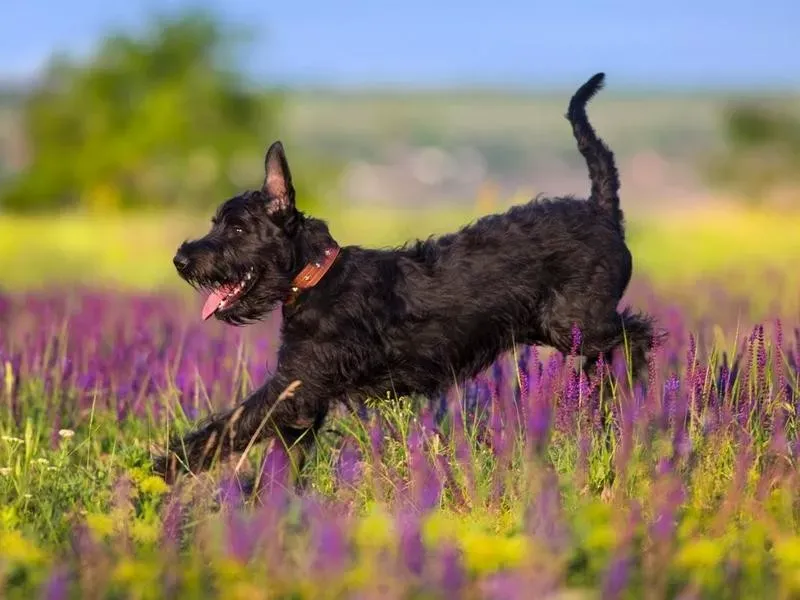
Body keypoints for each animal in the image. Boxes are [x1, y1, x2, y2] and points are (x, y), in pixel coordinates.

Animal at [155, 71, 664, 482]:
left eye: (238, 228)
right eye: (216, 222)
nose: (181, 258)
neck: (316, 278)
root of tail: (602, 210)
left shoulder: (294, 386)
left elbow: (229, 425)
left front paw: (162, 469)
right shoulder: (303, 397)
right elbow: (277, 456)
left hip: (575, 322)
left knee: (637, 334)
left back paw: (629, 393)